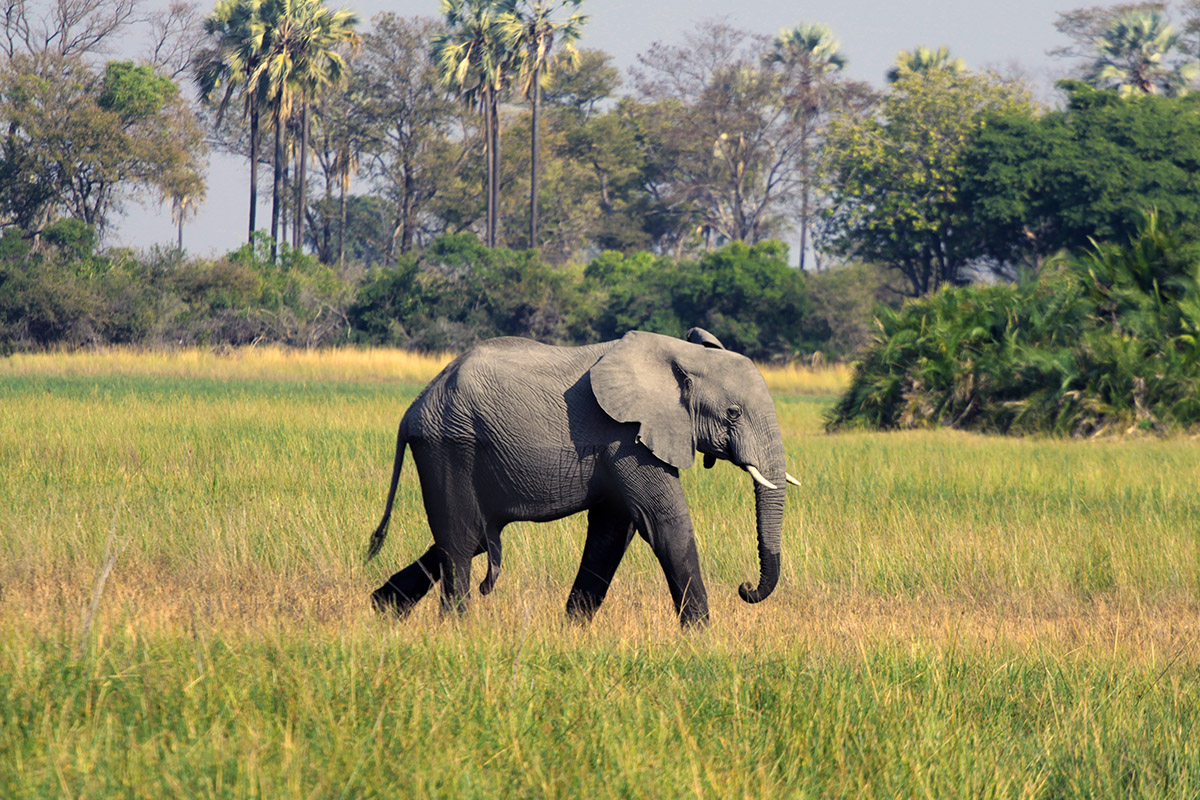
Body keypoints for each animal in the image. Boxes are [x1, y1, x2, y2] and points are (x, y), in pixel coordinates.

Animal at [364, 326, 796, 623]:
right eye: (733, 414)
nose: (745, 588)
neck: (680, 354)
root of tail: (413, 408)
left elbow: (614, 530)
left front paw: (572, 630)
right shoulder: (626, 437)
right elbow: (663, 522)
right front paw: (701, 636)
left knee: (470, 540)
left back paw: (383, 611)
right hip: (449, 445)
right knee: (460, 540)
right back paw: (456, 628)